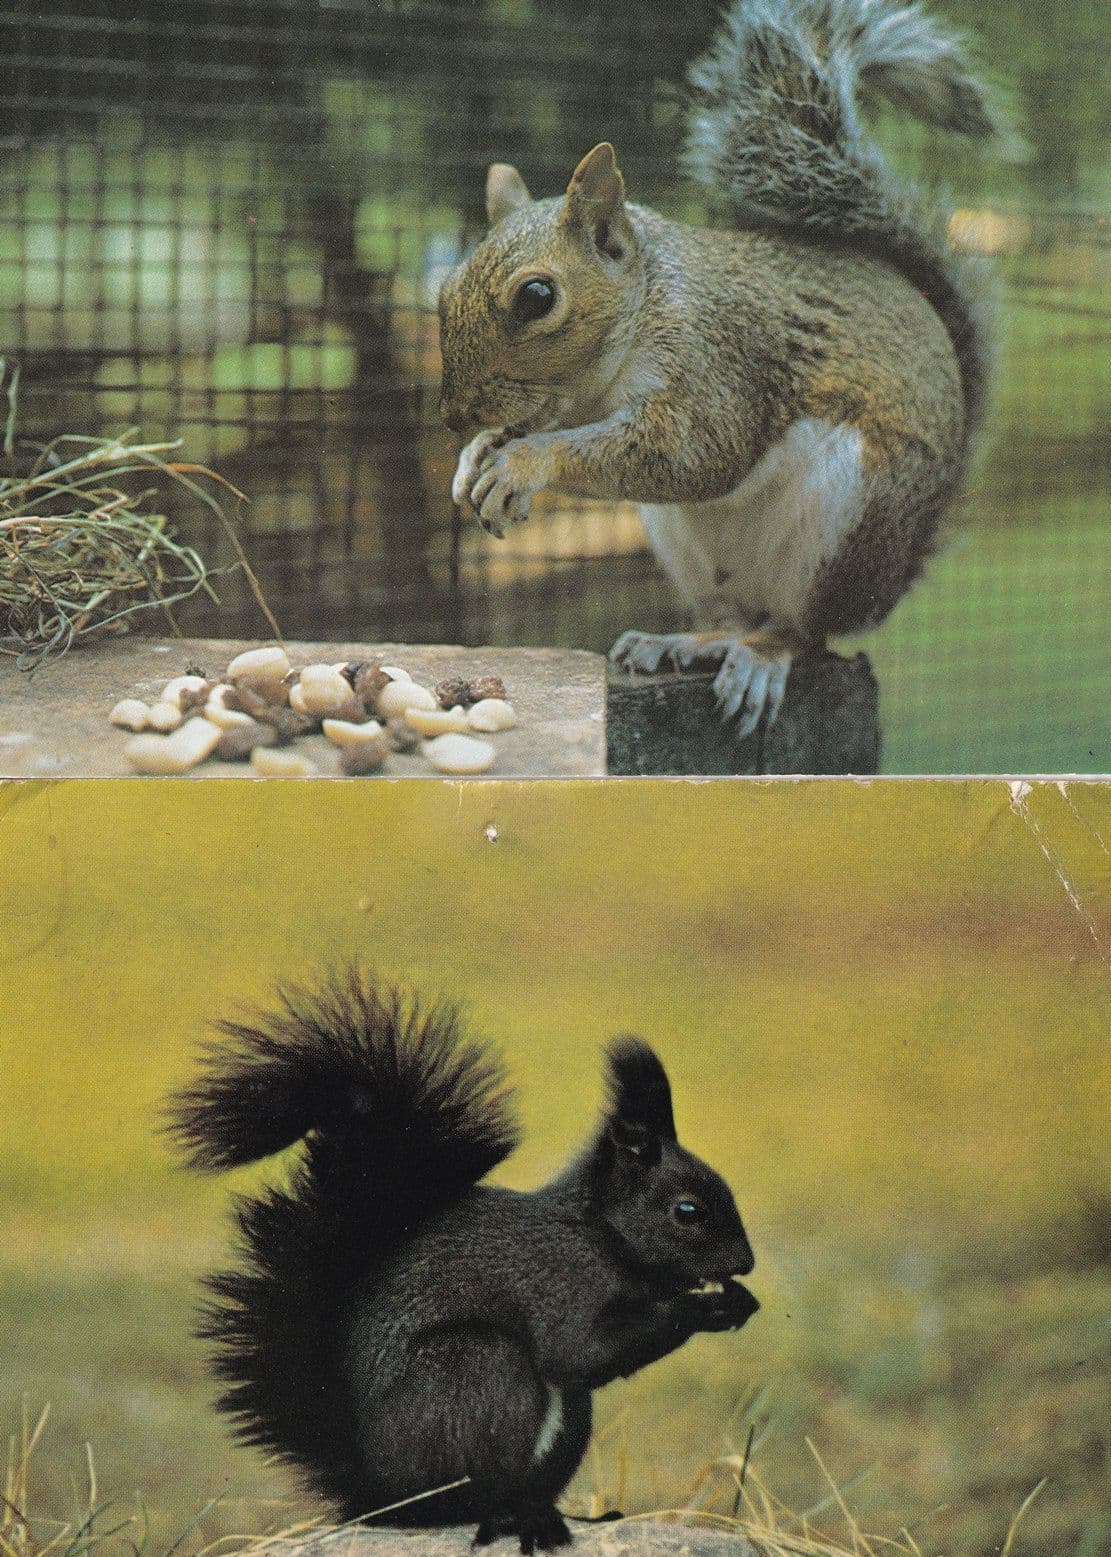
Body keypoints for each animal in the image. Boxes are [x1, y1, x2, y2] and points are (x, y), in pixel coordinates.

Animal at [165, 969, 758, 1554]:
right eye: (687, 1210)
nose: (747, 1263)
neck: (597, 1231)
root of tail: (378, 1496)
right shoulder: (555, 1280)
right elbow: (582, 1351)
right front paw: (706, 1306)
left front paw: (736, 1301)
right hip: (477, 1370)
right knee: (472, 1494)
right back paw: (513, 1519)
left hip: (563, 1417)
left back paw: (560, 1516)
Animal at [438, 0, 1000, 736]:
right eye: (445, 288)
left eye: (537, 297)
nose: (452, 416)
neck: (643, 311)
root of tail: (895, 573)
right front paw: (476, 454)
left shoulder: (718, 361)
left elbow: (696, 456)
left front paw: (521, 463)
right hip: (692, 551)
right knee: (733, 615)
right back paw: (685, 640)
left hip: (851, 518)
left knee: (801, 629)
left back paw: (762, 654)